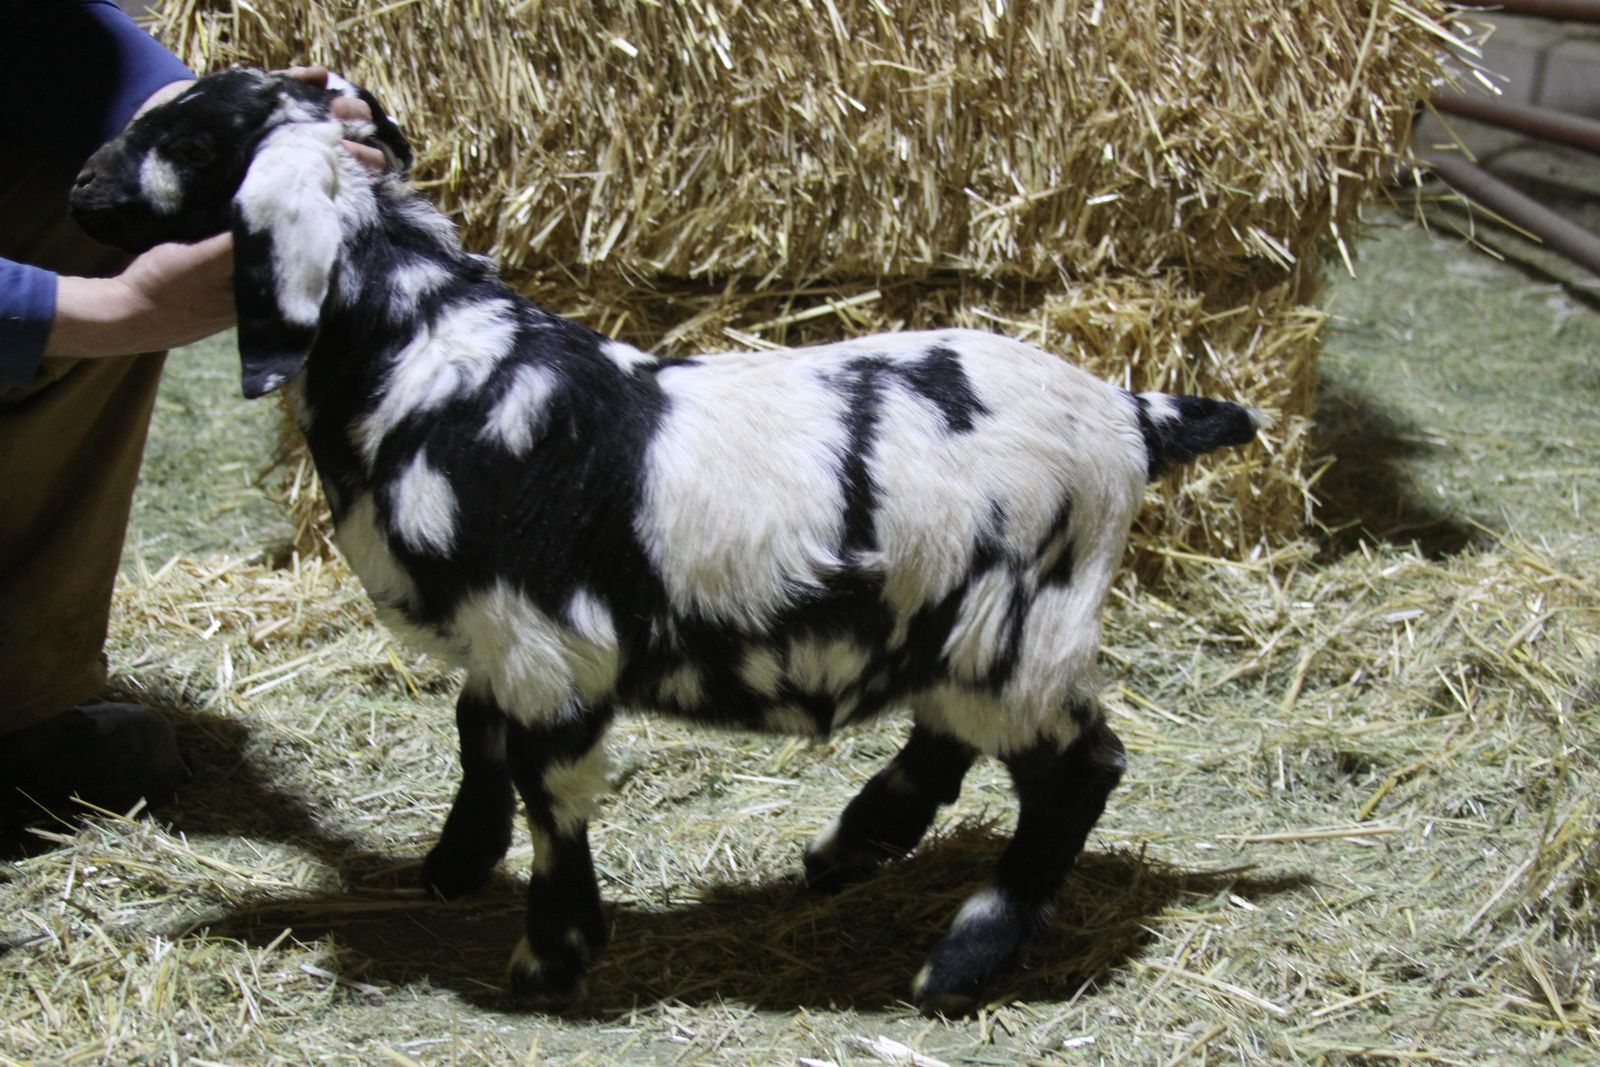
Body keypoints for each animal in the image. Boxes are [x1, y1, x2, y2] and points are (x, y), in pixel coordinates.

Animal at [70, 69, 1267, 1014]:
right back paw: (853, 844)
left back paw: (961, 958)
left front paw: (551, 959)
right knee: (950, 731)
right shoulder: (500, 636)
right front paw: (455, 862)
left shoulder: (545, 639)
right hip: (958, 619)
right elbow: (477, 736)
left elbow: (549, 787)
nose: (82, 191)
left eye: (192, 141)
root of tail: (1130, 415)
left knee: (1078, 770)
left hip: (1022, 619)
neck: (431, 360)